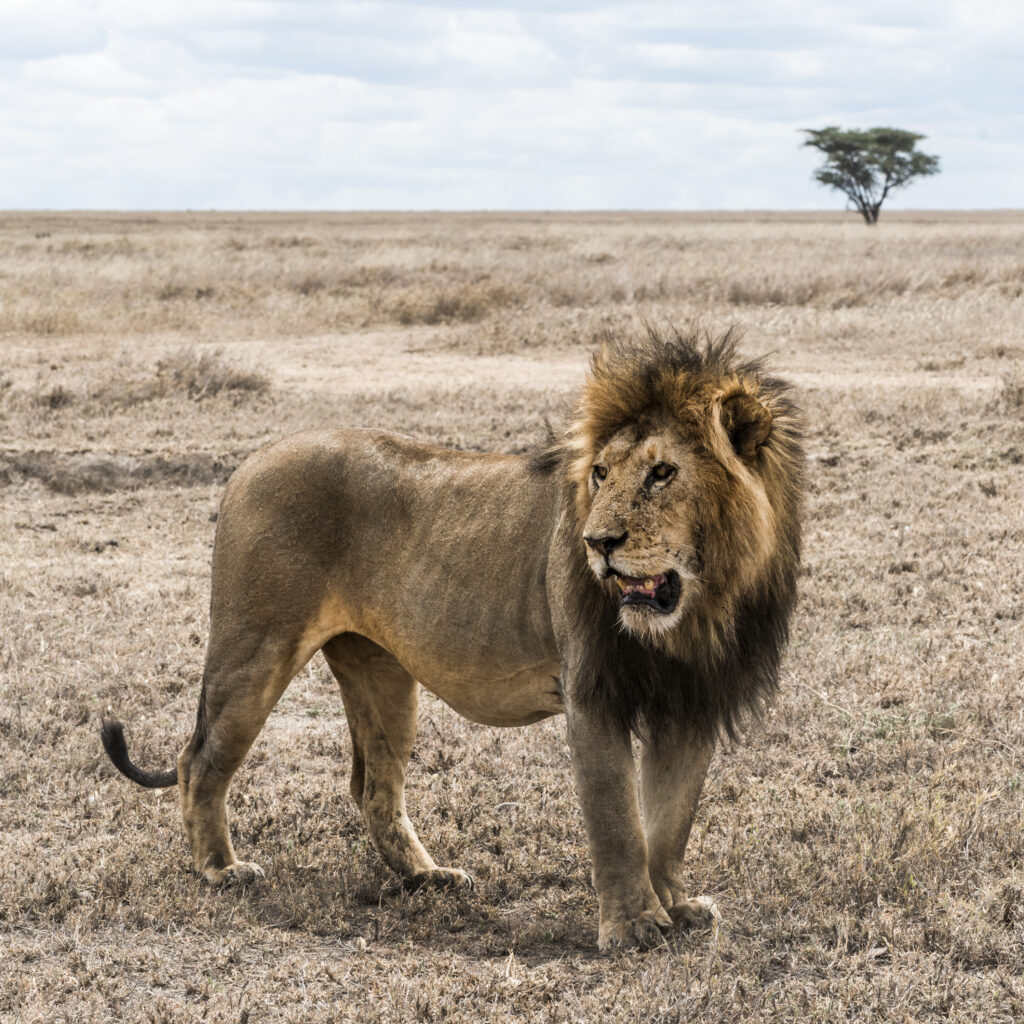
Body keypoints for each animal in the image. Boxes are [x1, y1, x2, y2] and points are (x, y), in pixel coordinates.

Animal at [101, 325, 803, 950]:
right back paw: (221, 871)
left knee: (373, 787)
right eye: (601, 474)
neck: (698, 608)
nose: (597, 543)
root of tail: (251, 461)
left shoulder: (693, 702)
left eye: (662, 473)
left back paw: (427, 877)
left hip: (381, 674)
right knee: (200, 760)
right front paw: (633, 929)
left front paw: (676, 907)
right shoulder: (592, 694)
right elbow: (619, 823)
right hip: (255, 648)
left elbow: (669, 824)